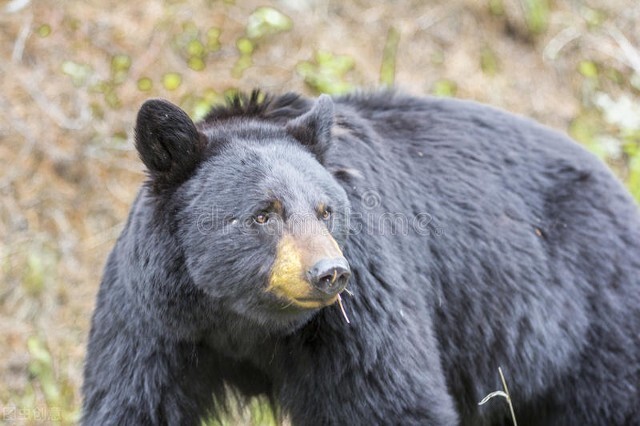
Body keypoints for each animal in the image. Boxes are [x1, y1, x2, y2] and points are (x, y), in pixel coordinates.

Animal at [82, 89, 640, 422]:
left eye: (326, 210)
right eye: (264, 214)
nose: (329, 273)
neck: (241, 319)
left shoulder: (358, 314)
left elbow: (390, 399)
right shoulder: (153, 319)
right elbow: (132, 400)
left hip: (595, 324)